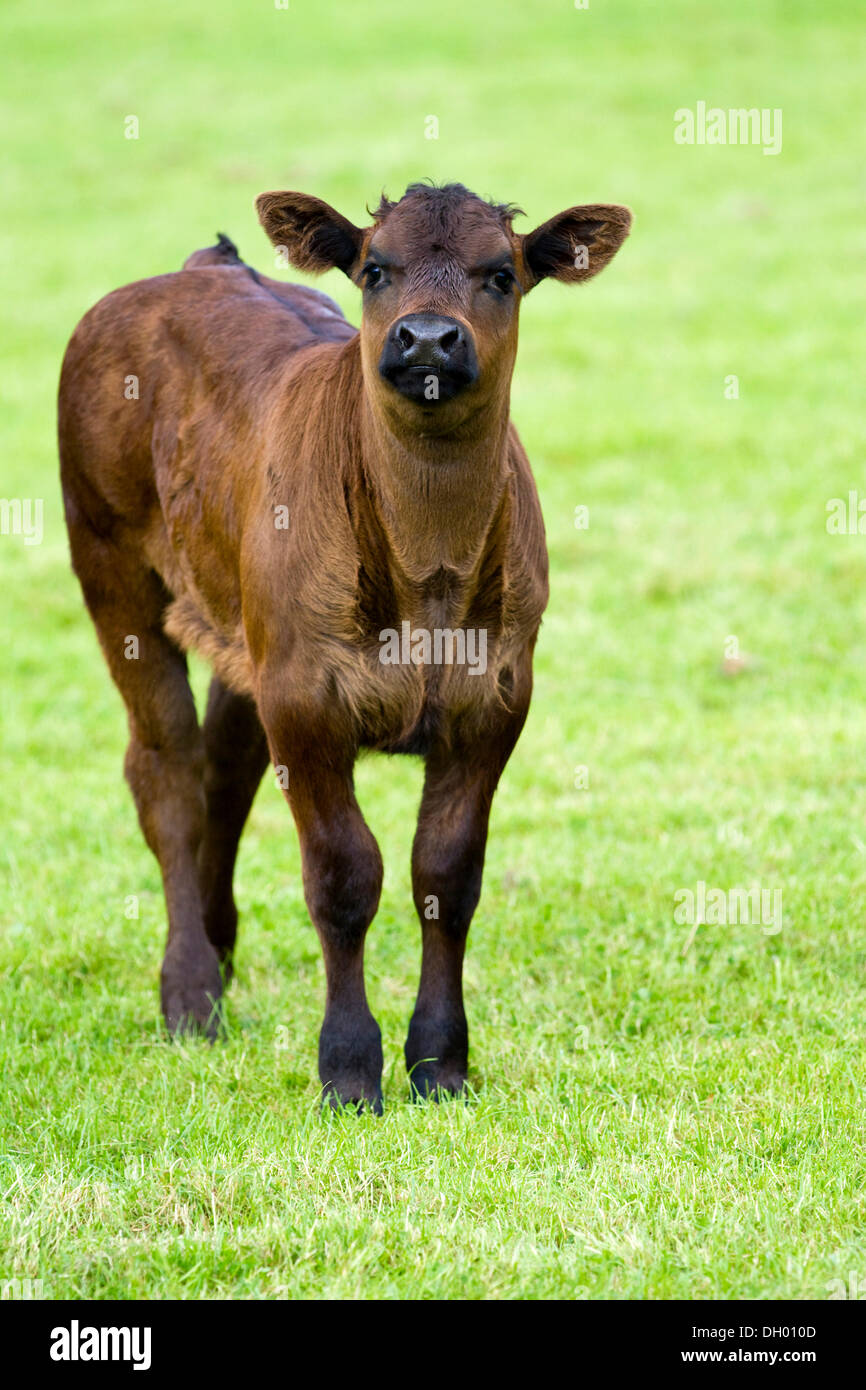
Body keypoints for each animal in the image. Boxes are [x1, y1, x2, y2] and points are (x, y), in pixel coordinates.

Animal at [59, 182, 631, 1106]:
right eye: (375, 269)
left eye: (501, 274)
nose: (427, 337)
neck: (428, 568)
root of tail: (203, 268)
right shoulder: (306, 697)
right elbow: (342, 875)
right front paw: (350, 1068)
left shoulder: (495, 698)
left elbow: (446, 875)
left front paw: (441, 1061)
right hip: (112, 566)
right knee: (167, 771)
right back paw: (190, 994)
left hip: (243, 626)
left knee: (225, 767)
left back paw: (219, 950)